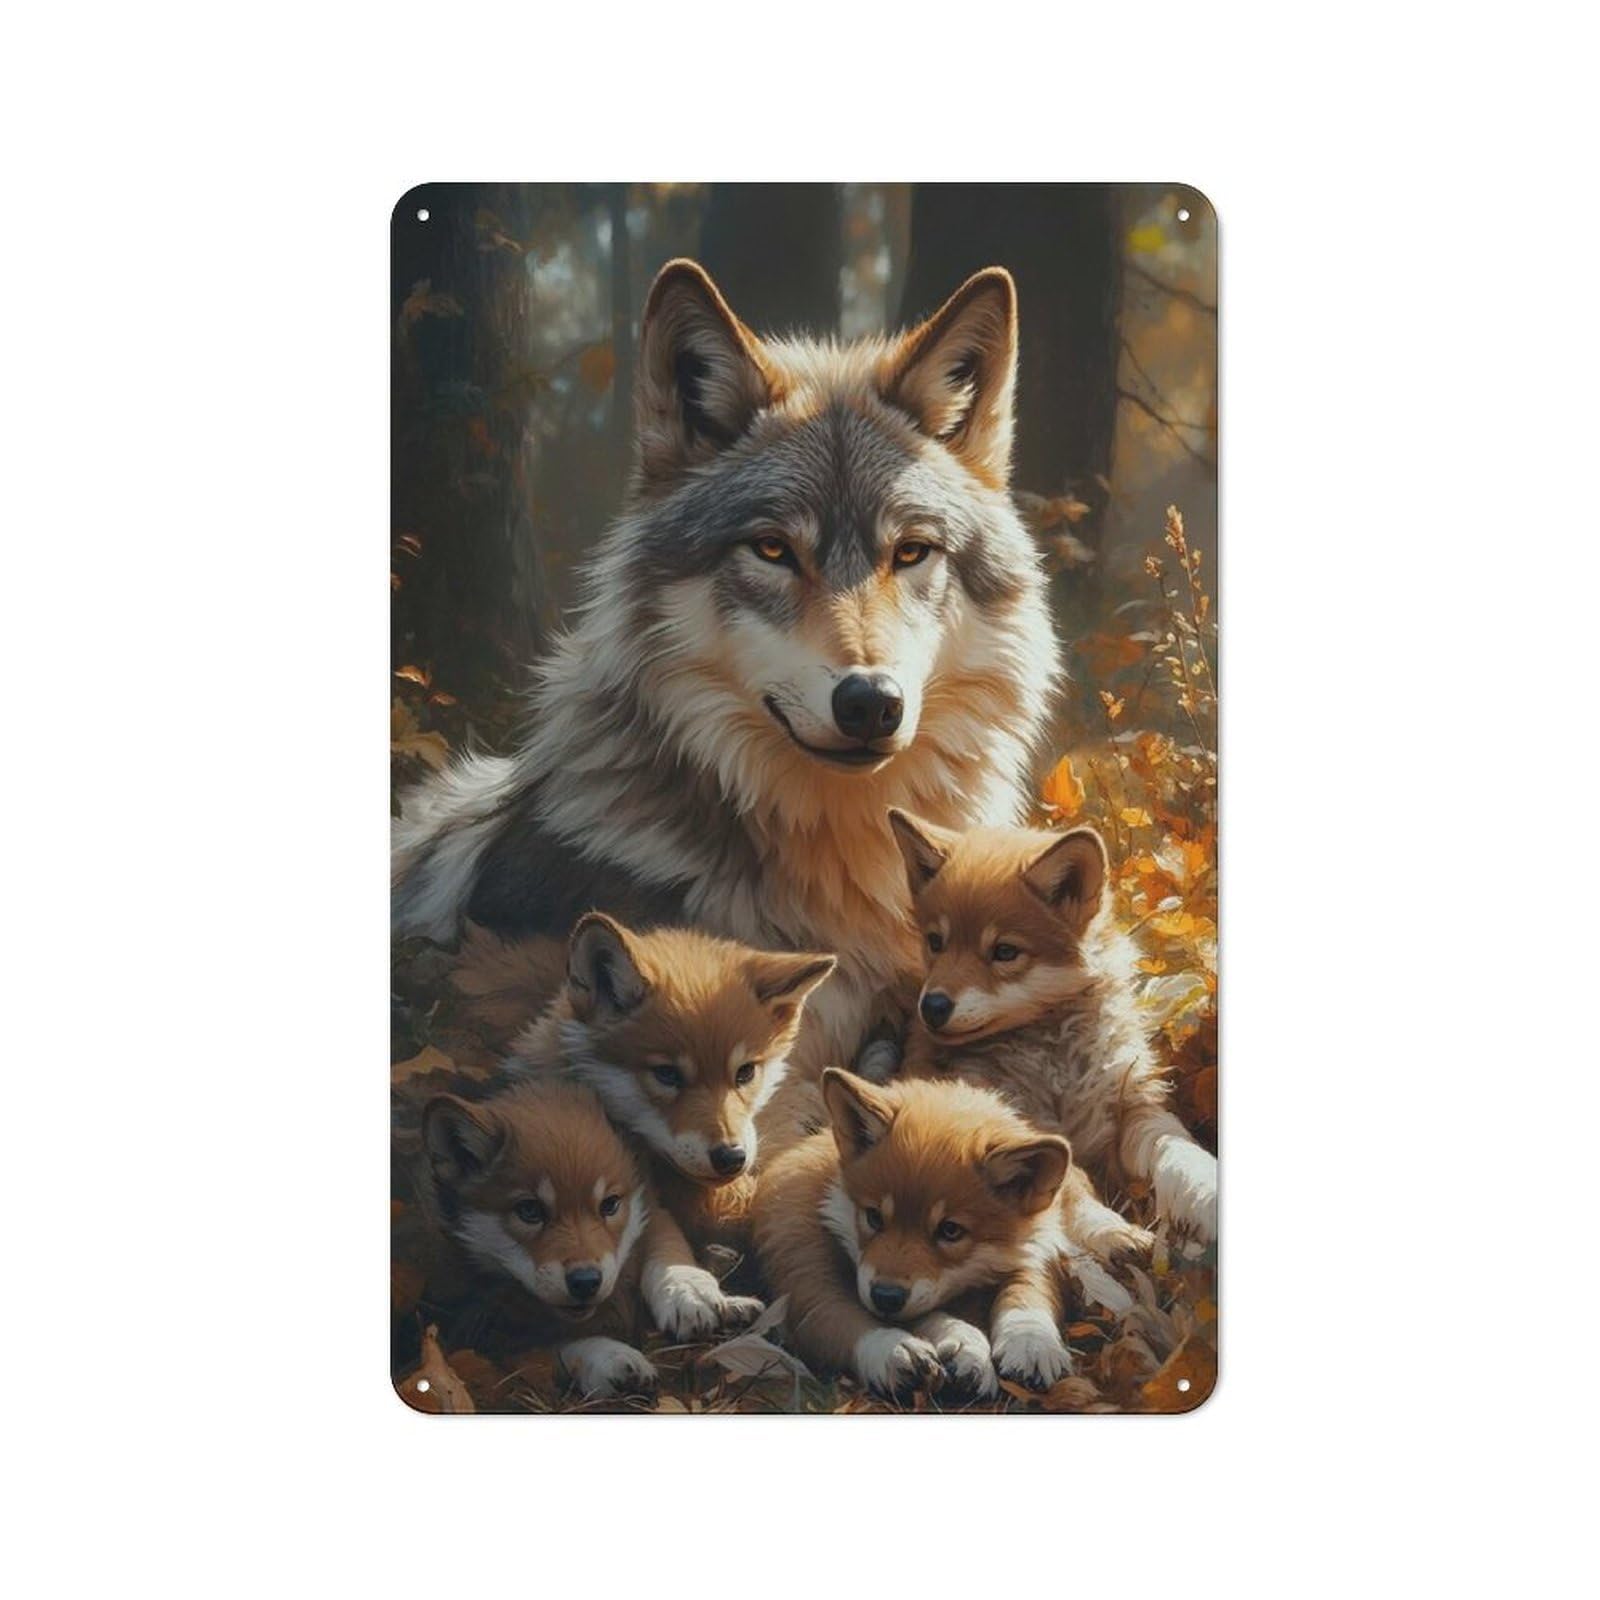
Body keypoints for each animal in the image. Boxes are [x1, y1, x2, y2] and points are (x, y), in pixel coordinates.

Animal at [883, 809, 1218, 1243]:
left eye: (1005, 952)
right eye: (936, 942)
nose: (933, 1007)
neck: (1057, 1060)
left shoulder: (1133, 1108)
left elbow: (1178, 1148)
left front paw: (1208, 1192)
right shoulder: (1023, 1134)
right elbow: (1070, 1187)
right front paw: (1111, 1231)